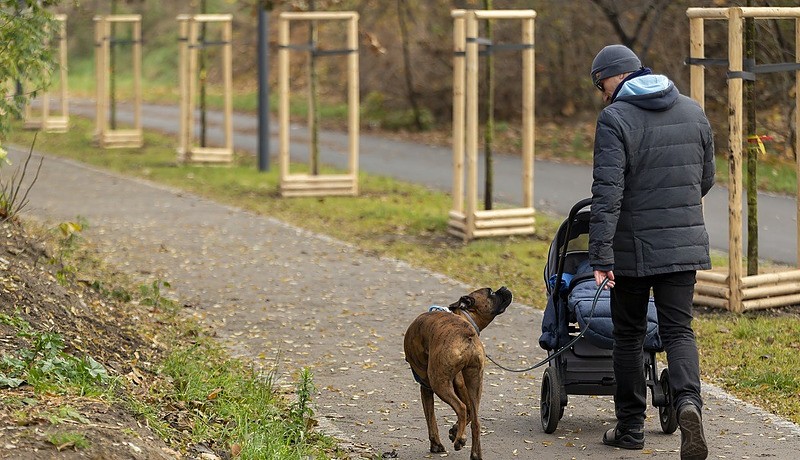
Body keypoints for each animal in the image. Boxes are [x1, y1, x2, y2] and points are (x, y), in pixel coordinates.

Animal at [404, 286, 516, 458]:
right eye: (491, 292)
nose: (504, 287)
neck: (462, 316)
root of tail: (466, 334)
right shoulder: (461, 384)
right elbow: (470, 412)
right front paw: (455, 430)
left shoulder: (426, 387)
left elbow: (431, 418)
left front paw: (437, 444)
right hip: (475, 382)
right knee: (475, 419)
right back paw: (473, 452)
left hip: (439, 383)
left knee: (461, 408)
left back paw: (460, 440)